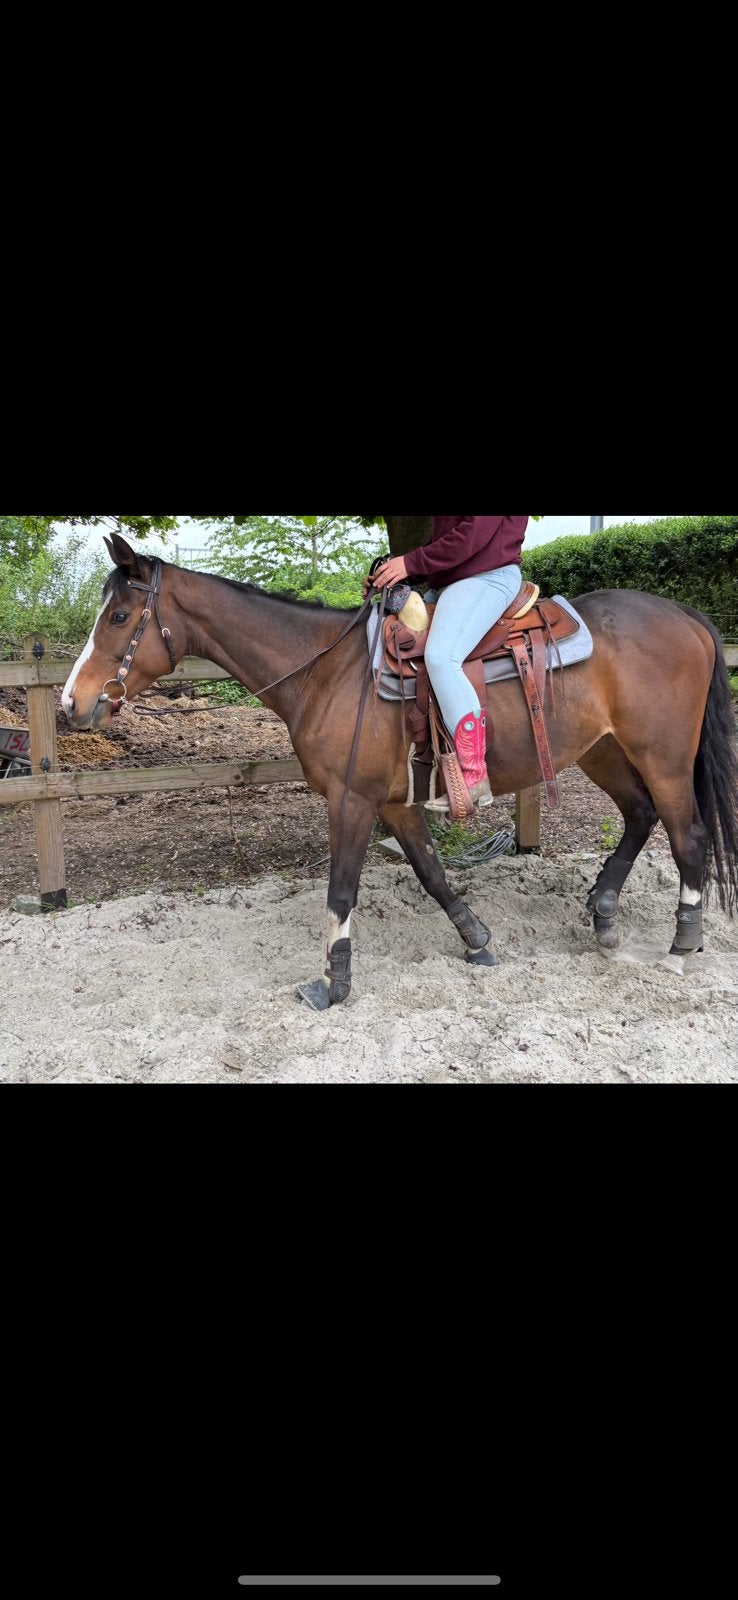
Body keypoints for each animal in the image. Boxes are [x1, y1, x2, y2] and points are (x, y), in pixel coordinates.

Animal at [62, 535, 738, 1008]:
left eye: (118, 618)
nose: (72, 702)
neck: (327, 672)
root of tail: (686, 615)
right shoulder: (392, 802)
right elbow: (432, 873)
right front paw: (477, 941)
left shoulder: (351, 800)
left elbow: (341, 889)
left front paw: (332, 984)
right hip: (604, 751)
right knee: (641, 815)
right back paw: (602, 913)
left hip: (662, 757)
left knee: (688, 835)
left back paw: (682, 943)